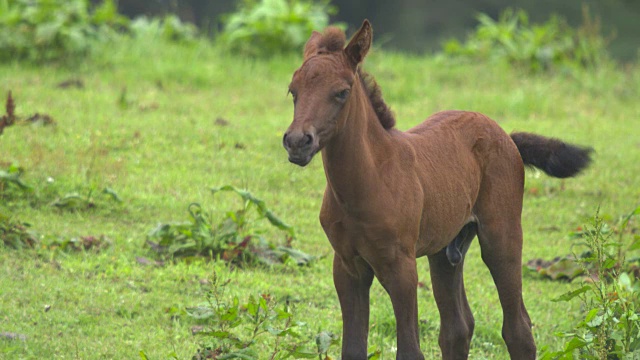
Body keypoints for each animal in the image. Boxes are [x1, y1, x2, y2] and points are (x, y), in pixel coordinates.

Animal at [282, 20, 592, 360]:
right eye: (293, 90)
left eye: (341, 92)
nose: (297, 142)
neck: (368, 181)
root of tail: (507, 137)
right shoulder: (348, 266)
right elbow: (352, 350)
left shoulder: (401, 266)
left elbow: (409, 350)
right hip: (445, 250)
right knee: (458, 327)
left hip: (502, 236)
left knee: (518, 328)